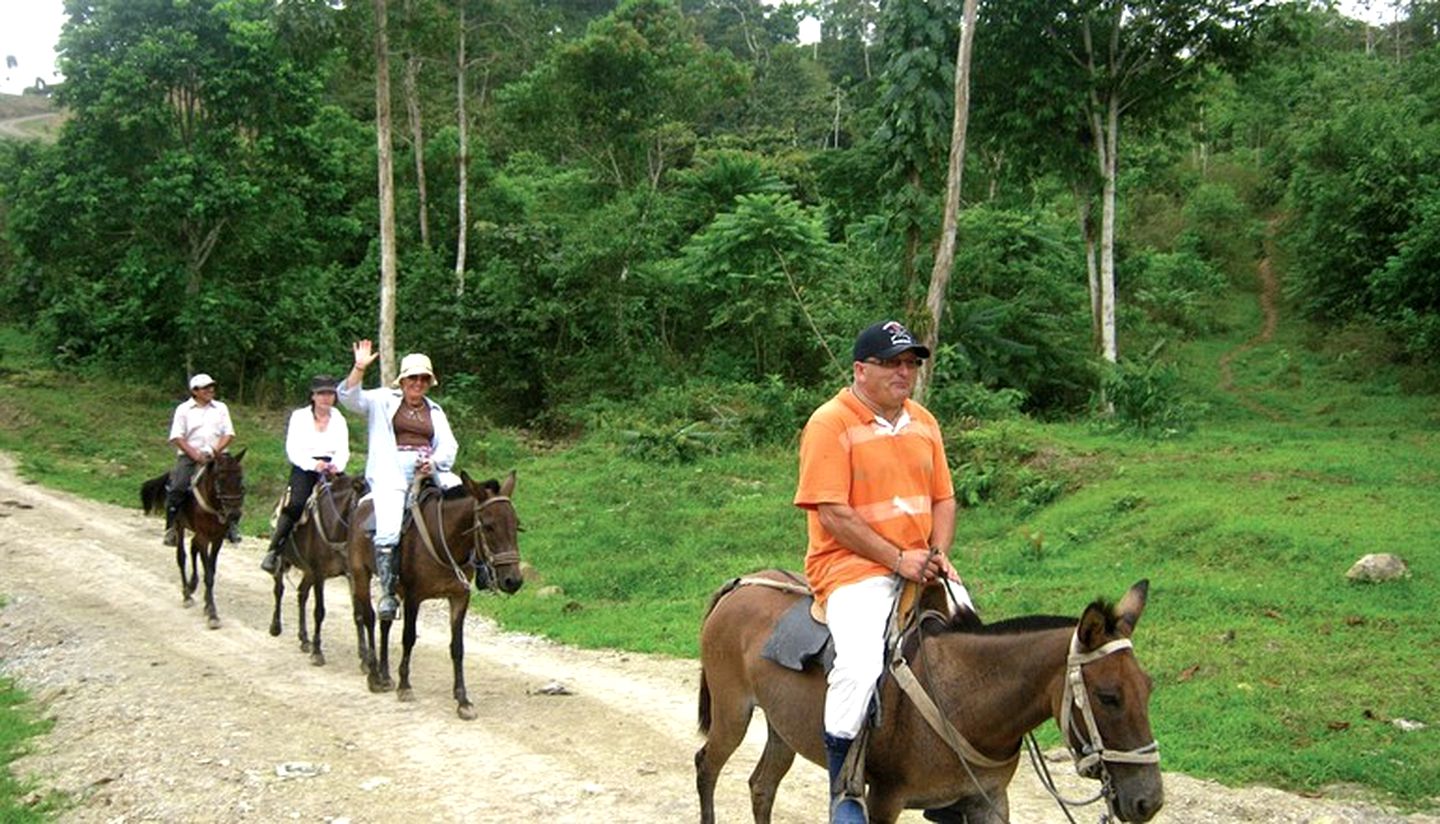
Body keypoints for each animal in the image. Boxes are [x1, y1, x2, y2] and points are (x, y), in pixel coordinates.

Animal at [140, 449, 247, 630]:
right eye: (220, 478)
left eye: (240, 477)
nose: (234, 514)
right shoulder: (204, 536)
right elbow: (208, 574)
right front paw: (212, 613)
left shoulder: (217, 539)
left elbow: (211, 569)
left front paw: (207, 604)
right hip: (180, 526)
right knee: (182, 557)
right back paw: (186, 595)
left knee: (192, 548)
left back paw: (192, 585)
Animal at [270, 472, 368, 665]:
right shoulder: (319, 574)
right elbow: (319, 611)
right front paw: (317, 652)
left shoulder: (351, 575)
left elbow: (358, 613)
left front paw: (365, 658)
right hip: (284, 561)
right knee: (279, 589)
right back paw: (275, 627)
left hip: (307, 572)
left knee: (301, 593)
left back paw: (304, 639)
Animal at [345, 472, 521, 717]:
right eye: (488, 526)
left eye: (516, 524)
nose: (513, 581)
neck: (444, 539)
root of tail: (361, 507)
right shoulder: (413, 597)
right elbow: (408, 638)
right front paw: (405, 686)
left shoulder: (459, 597)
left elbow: (457, 647)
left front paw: (463, 700)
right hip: (360, 574)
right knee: (369, 618)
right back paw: (374, 675)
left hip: (391, 588)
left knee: (385, 623)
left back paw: (385, 675)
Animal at [694, 573, 1157, 824]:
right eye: (1108, 697)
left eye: (1149, 688)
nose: (1149, 801)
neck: (966, 700)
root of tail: (741, 585)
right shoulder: (883, 798)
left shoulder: (989, 800)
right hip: (733, 713)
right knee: (707, 766)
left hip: (781, 728)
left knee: (762, 786)